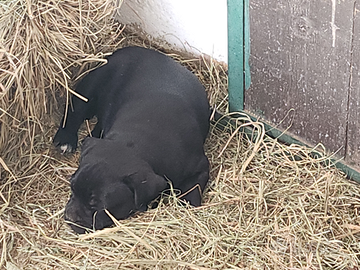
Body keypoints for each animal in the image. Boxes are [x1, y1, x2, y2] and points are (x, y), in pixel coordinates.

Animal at [54, 46, 211, 232]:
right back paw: (65, 138)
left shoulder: (201, 167)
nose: (69, 217)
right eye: (71, 188)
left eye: (97, 205)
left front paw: (186, 204)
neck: (136, 144)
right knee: (75, 110)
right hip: (90, 86)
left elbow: (194, 188)